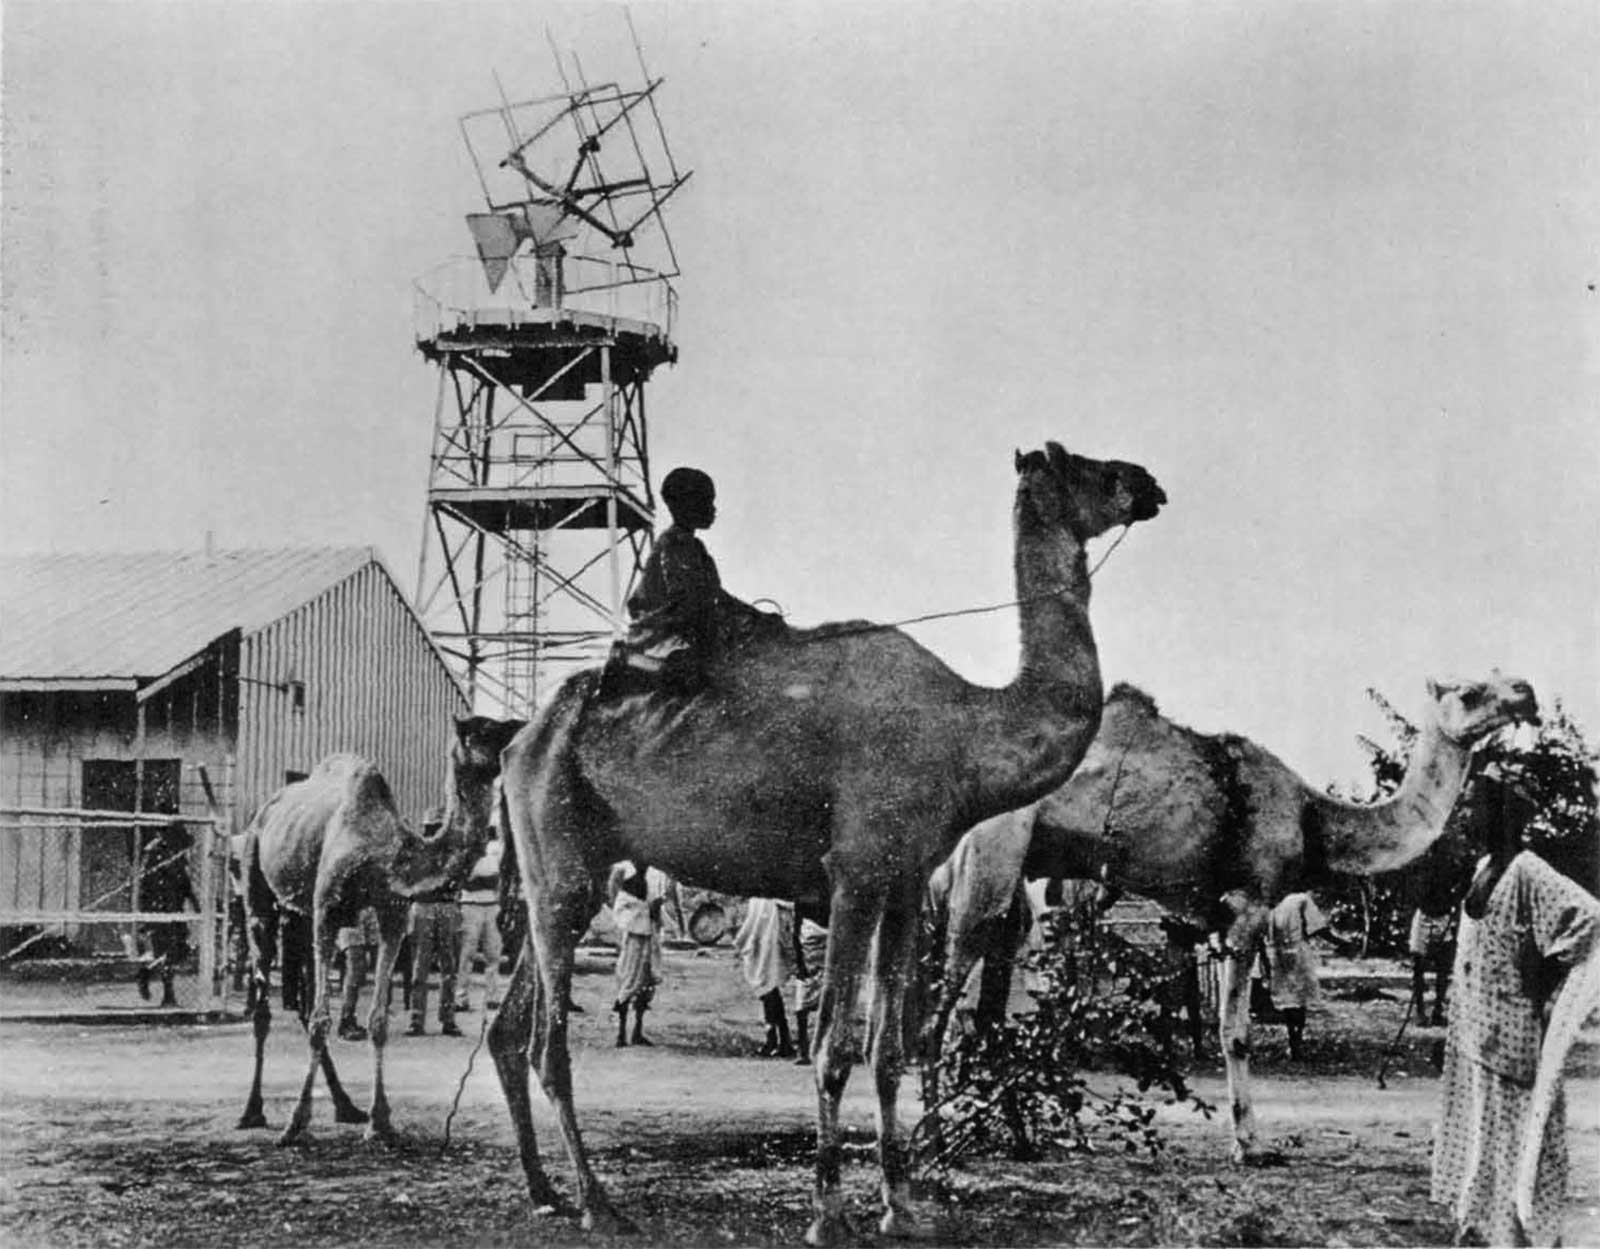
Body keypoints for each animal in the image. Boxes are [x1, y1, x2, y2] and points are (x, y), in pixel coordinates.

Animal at [233, 716, 521, 1145]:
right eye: (483, 729)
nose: (522, 726)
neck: (387, 853)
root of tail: (264, 810)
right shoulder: (327, 908)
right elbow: (321, 1020)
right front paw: (295, 1123)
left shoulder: (392, 915)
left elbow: (378, 1020)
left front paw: (381, 1121)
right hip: (258, 887)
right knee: (266, 1002)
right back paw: (252, 1111)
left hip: (299, 913)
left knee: (302, 1001)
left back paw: (345, 1106)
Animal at [492, 444, 1171, 1241]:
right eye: (1079, 464)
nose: (1149, 484)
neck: (963, 732)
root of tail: (518, 741)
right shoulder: (856, 871)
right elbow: (834, 1045)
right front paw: (830, 1214)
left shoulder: (905, 878)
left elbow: (889, 1047)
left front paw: (903, 1206)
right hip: (560, 856)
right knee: (547, 1044)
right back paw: (597, 1204)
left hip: (565, 868)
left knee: (510, 1029)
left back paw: (545, 1189)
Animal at [928, 671, 1536, 1157]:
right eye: (1470, 691)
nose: (1525, 692)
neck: (1314, 818)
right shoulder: (1249, 905)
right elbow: (1235, 1031)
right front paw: (1251, 1146)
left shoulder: (1216, 917)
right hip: (987, 857)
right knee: (940, 1004)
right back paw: (934, 1144)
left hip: (1012, 881)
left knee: (984, 1008)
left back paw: (1017, 1139)